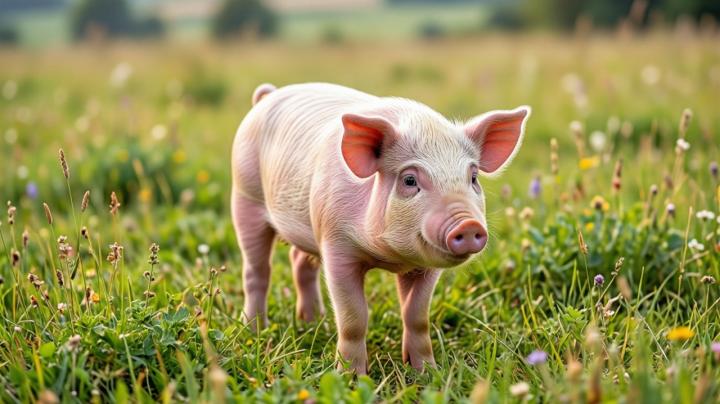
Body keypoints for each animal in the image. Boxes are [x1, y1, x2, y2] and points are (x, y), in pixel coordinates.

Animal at [231, 82, 530, 374]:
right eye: (409, 180)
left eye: (474, 177)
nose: (467, 224)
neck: (390, 258)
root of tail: (269, 95)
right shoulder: (336, 245)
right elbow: (354, 317)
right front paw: (351, 377)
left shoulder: (427, 267)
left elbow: (417, 315)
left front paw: (427, 372)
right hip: (245, 196)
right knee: (257, 270)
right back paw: (255, 329)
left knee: (299, 261)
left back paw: (314, 322)